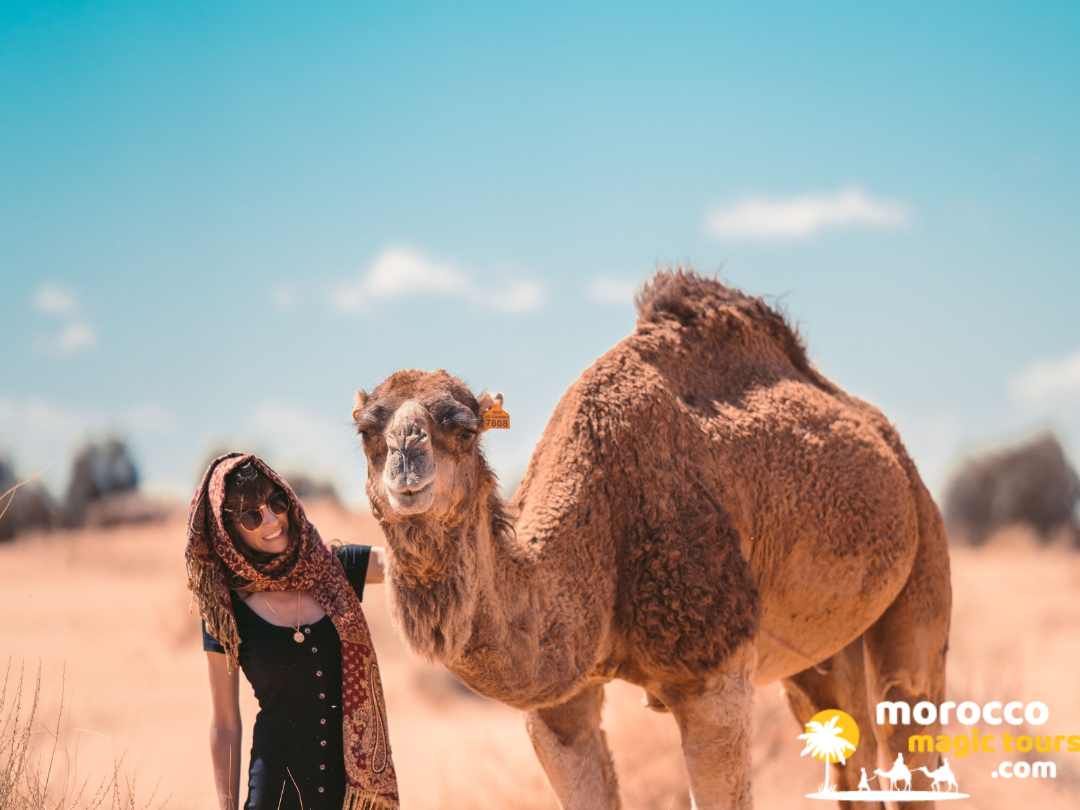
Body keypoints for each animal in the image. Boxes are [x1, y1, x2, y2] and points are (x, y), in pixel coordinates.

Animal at [351, 269, 951, 810]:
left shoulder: (715, 673)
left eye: (464, 427)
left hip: (925, 550)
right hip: (817, 653)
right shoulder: (558, 706)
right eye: (365, 428)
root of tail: (888, 443)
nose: (406, 457)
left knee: (908, 711)